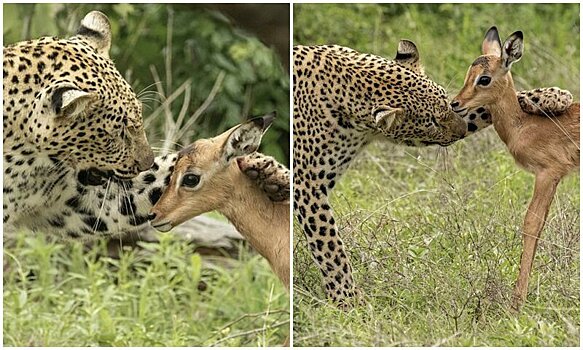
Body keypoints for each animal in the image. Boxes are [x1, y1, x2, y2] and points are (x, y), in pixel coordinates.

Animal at [292, 41, 576, 304]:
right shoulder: (307, 185)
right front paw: (349, 302)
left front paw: (553, 97)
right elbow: (329, 246)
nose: (461, 131)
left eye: (444, 102)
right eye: (430, 122)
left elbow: (484, 107)